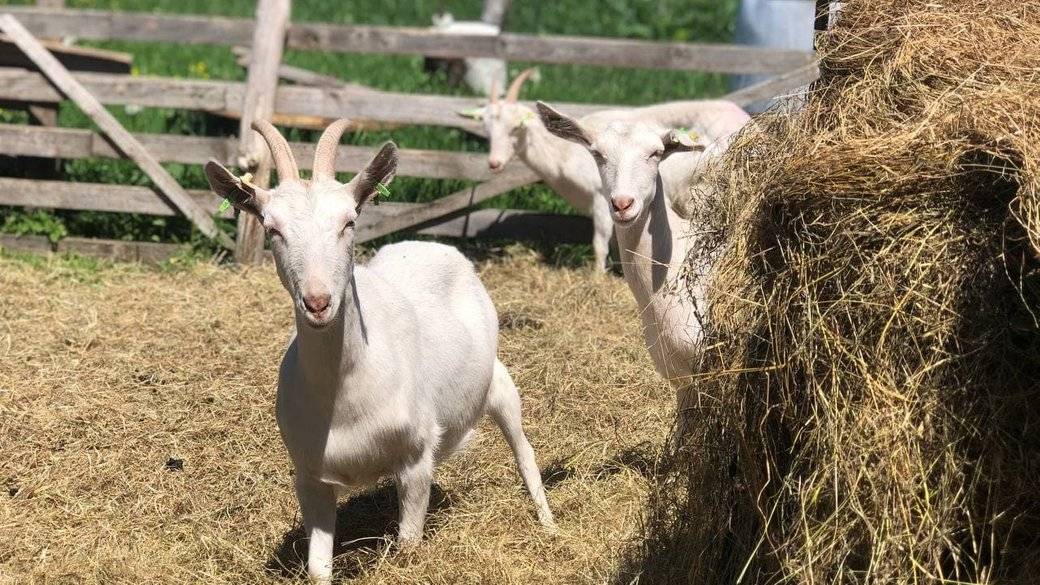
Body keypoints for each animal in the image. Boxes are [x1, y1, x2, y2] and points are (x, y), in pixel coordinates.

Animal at [200, 118, 553, 578]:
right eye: (272, 228)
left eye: (349, 222)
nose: (318, 302)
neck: (346, 391)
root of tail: (429, 243)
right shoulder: (311, 477)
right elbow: (318, 568)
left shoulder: (415, 458)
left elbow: (407, 546)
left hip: (498, 381)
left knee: (524, 449)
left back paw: (548, 524)